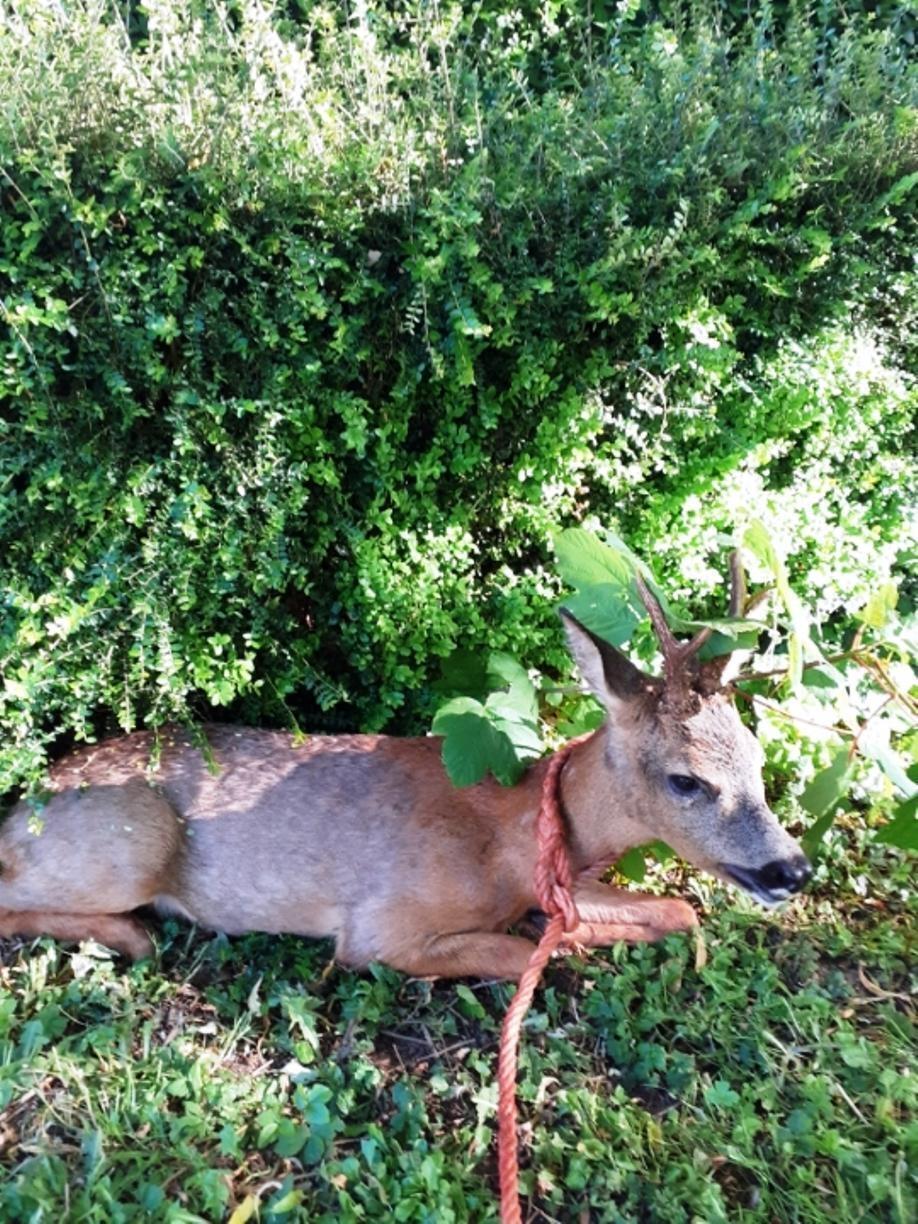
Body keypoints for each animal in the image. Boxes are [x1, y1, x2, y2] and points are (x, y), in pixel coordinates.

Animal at [0, 567, 812, 979]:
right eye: (685, 780)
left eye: (756, 757)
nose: (792, 870)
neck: (509, 839)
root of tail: (18, 811)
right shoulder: (382, 928)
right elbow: (534, 954)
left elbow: (675, 911)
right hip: (130, 844)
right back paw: (134, 937)